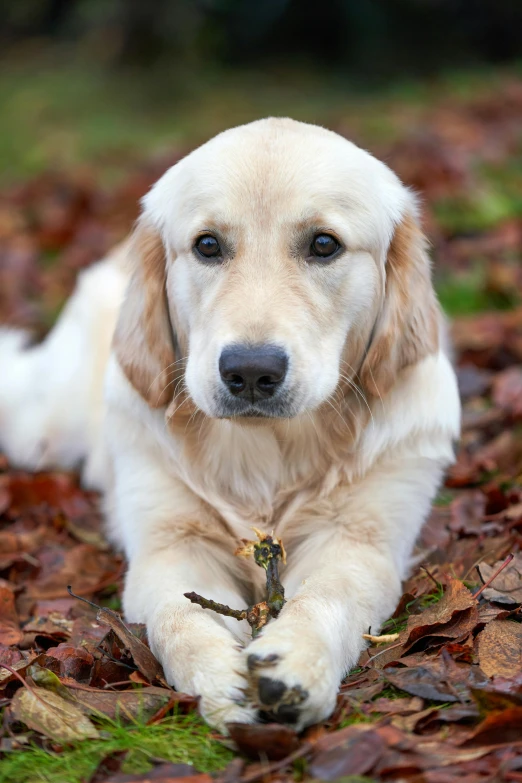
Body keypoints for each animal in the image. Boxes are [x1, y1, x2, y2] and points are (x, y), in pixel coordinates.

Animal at [0, 118, 458, 736]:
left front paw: (295, 664)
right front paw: (217, 677)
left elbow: (327, 595)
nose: (251, 372)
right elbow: (178, 616)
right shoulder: (170, 547)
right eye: (207, 245)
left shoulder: (362, 541)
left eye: (324, 244)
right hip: (41, 431)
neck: (268, 453)